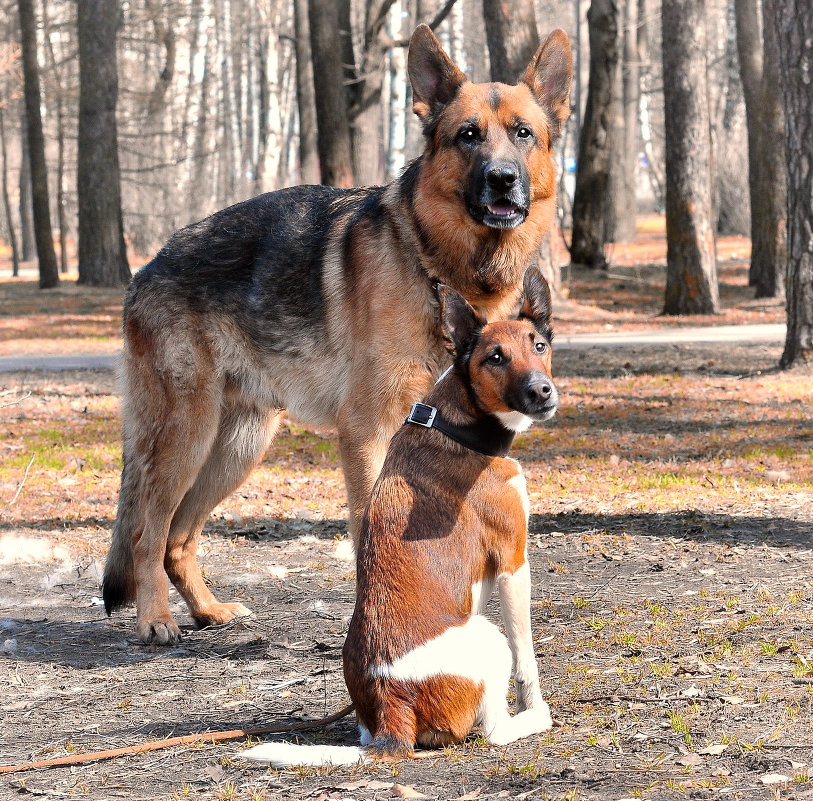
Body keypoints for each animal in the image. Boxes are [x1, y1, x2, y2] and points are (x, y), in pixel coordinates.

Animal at [103, 23, 572, 644]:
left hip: (238, 446)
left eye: (523, 134)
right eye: (467, 136)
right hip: (186, 435)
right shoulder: (367, 434)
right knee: (148, 532)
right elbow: (368, 532)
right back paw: (156, 619)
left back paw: (207, 610)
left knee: (179, 537)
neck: (439, 267)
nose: (503, 179)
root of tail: (148, 265)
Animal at [243, 266, 560, 764]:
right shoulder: (514, 561)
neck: (457, 423)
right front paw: (535, 701)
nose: (541, 391)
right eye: (495, 357)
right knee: (494, 730)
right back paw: (534, 719)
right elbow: (527, 656)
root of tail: (392, 706)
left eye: (540, 345)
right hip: (488, 636)